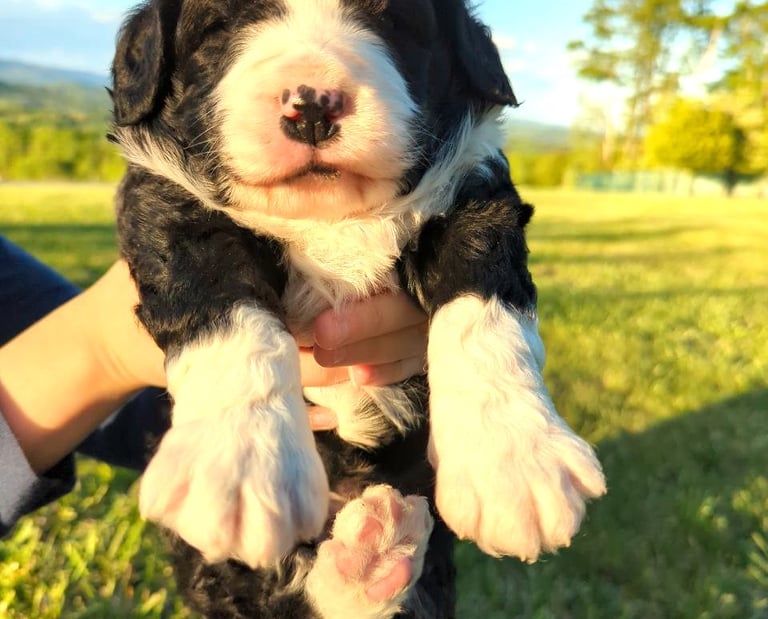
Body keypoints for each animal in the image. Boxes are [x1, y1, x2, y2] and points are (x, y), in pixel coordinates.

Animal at [110, 0, 607, 616]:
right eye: (218, 28)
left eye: (394, 23)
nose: (312, 104)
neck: (331, 216)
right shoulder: (166, 197)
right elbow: (225, 308)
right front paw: (241, 460)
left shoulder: (475, 188)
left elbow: (483, 306)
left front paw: (516, 460)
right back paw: (366, 559)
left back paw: (375, 556)